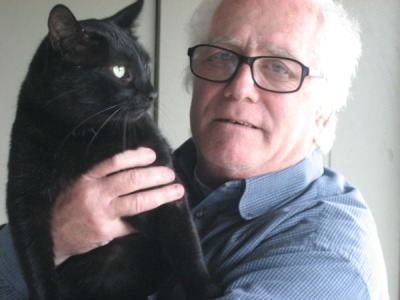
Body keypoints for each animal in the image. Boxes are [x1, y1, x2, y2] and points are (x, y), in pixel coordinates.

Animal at [5, 1, 219, 298]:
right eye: (119, 70)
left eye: (146, 64)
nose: (151, 93)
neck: (86, 134)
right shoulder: (24, 198)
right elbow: (35, 263)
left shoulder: (165, 183)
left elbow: (186, 245)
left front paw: (205, 290)